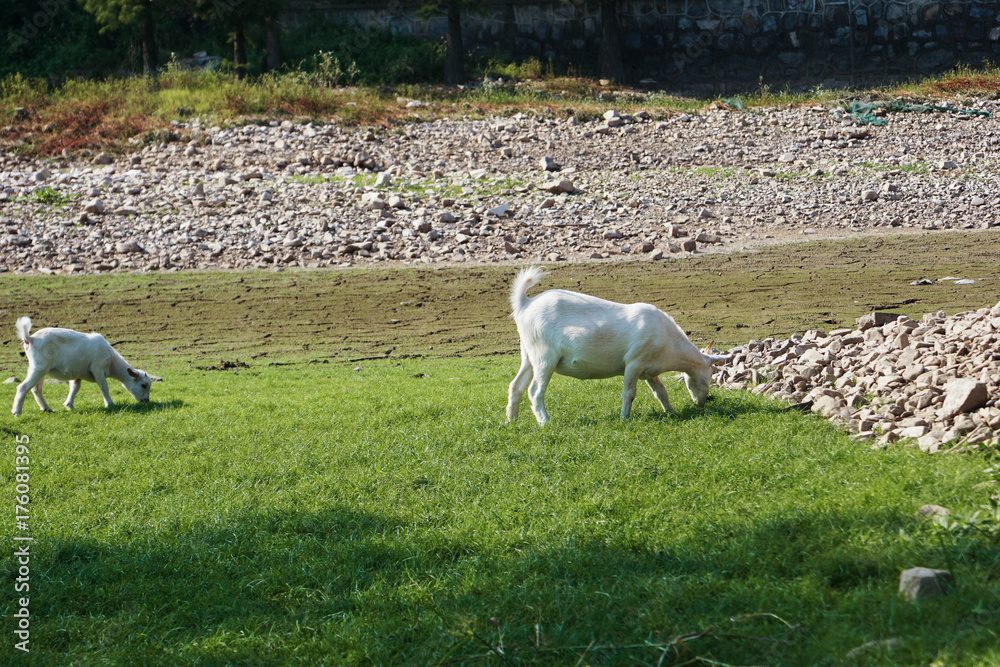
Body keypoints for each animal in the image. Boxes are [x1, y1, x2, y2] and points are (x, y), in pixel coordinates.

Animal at [11, 316, 161, 414]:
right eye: (144, 385)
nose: (146, 401)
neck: (112, 363)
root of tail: (30, 339)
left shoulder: (77, 373)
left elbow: (75, 388)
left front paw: (69, 405)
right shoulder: (98, 369)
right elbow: (104, 386)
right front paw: (110, 404)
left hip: (39, 368)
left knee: (36, 389)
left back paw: (47, 409)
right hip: (39, 366)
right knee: (23, 387)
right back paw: (17, 412)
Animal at [508, 266, 728, 422]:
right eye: (708, 378)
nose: (701, 403)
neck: (669, 342)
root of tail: (524, 304)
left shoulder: (649, 370)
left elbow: (661, 392)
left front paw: (671, 411)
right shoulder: (634, 362)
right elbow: (629, 393)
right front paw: (624, 418)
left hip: (529, 355)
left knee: (516, 386)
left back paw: (512, 421)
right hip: (545, 356)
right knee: (535, 391)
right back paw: (545, 422)